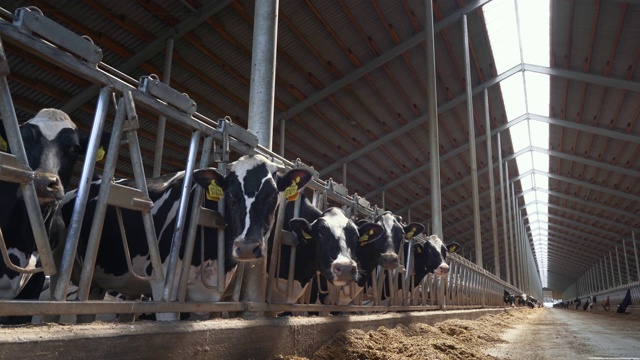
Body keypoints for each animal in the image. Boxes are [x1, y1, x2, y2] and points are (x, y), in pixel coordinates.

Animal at [60, 153, 312, 320]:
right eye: (231, 194)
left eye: (273, 195)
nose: (247, 247)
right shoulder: (163, 286)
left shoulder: (209, 295)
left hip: (95, 282)